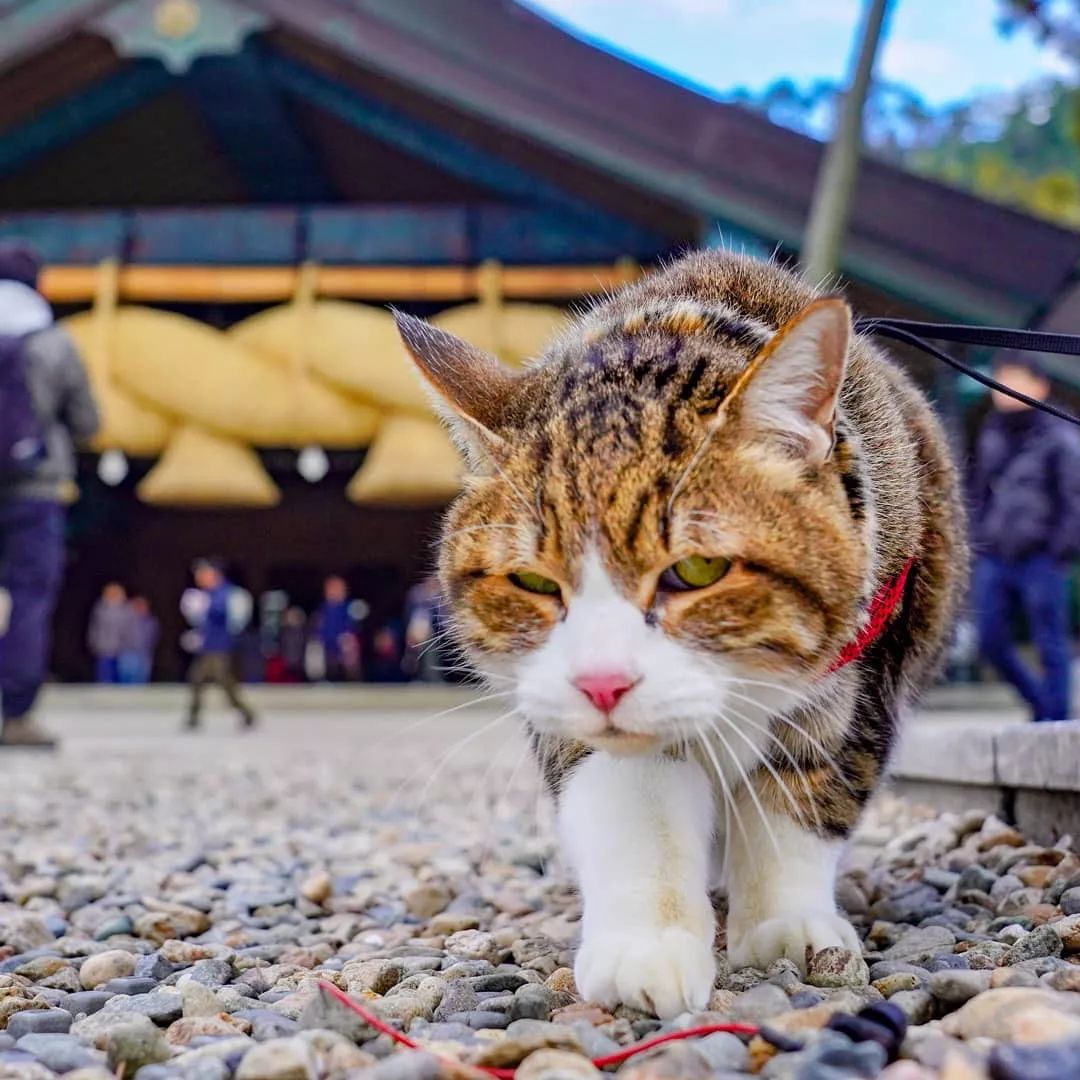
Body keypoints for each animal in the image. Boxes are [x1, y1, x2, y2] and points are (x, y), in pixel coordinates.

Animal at [393, 252, 967, 1019]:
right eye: (535, 581)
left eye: (697, 569)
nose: (602, 683)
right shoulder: (577, 722)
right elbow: (635, 807)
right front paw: (648, 945)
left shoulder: (858, 681)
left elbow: (799, 803)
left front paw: (786, 922)